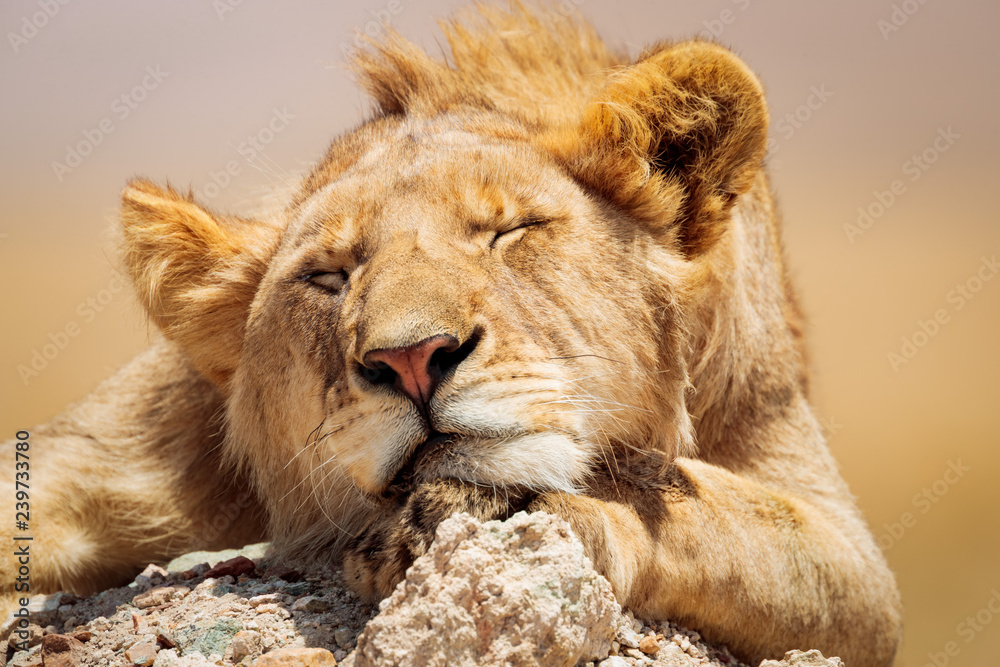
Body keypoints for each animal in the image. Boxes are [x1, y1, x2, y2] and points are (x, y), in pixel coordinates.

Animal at [1, 4, 902, 665]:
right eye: (329, 274)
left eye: (507, 231)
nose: (410, 358)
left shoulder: (853, 566)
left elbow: (715, 513)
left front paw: (491, 513)